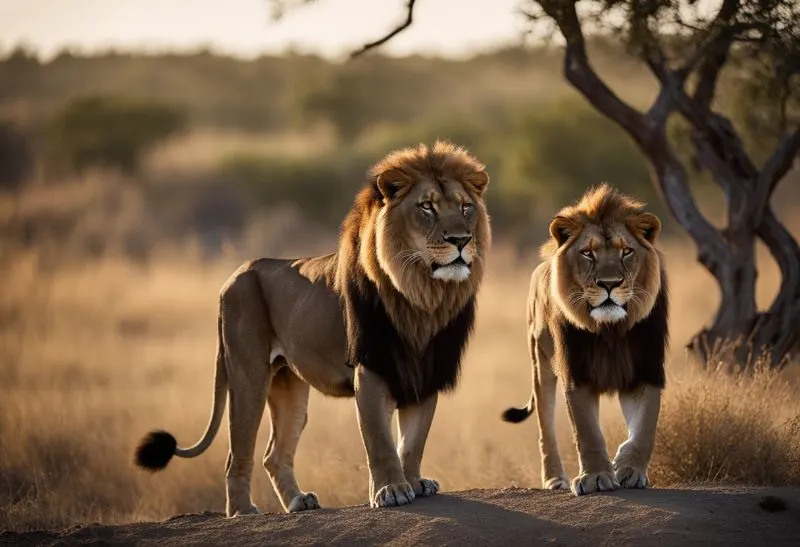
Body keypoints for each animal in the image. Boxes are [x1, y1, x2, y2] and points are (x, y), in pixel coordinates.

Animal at [134, 141, 491, 516]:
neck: (423, 295)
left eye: (465, 207)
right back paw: (243, 511)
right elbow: (379, 440)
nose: (461, 240)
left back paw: (298, 501)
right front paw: (391, 490)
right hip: (248, 376)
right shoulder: (370, 370)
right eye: (426, 207)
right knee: (237, 454)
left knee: (274, 455)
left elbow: (413, 442)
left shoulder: (425, 372)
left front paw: (415, 483)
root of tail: (236, 274)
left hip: (289, 386)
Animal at [502, 183, 668, 496]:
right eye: (588, 253)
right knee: (545, 427)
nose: (609, 284)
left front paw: (629, 469)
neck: (610, 329)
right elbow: (587, 431)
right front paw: (597, 476)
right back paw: (555, 478)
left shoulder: (646, 370)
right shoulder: (576, 373)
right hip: (540, 366)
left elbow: (645, 428)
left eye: (626, 251)